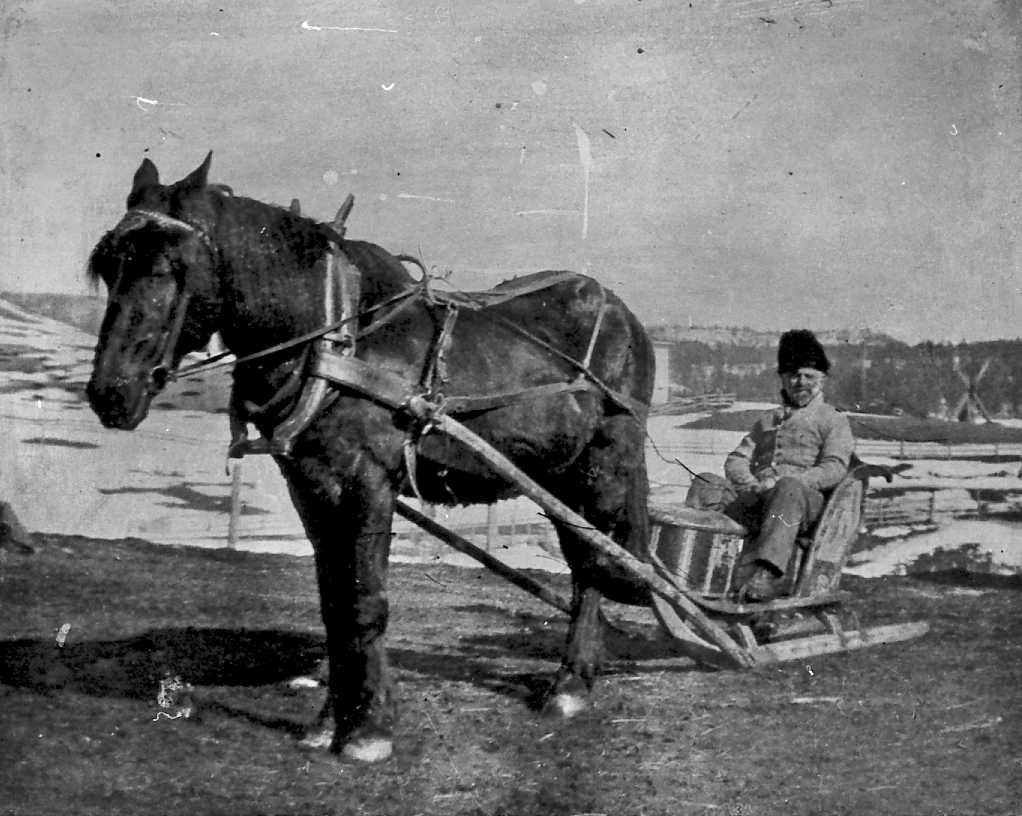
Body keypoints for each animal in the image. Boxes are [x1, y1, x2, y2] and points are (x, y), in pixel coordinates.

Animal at [83, 155, 649, 768]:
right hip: (557, 476)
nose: (110, 393)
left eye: (174, 266)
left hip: (603, 468)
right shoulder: (311, 485)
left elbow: (364, 602)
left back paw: (570, 685)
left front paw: (369, 727)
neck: (337, 340)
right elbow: (334, 602)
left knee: (594, 564)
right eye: (108, 263)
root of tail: (622, 313)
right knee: (583, 561)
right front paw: (329, 720)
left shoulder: (368, 482)